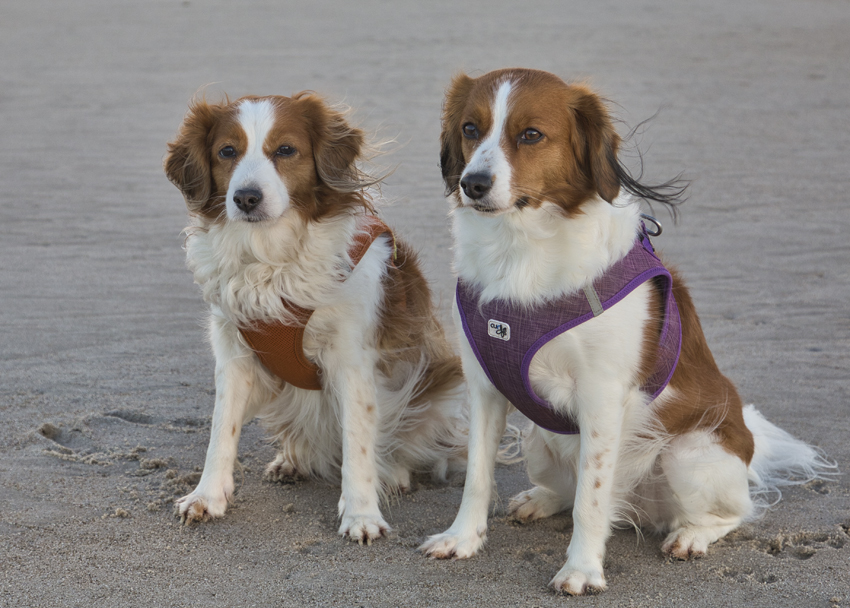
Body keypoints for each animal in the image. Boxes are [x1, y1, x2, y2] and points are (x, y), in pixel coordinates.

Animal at [164, 91, 464, 540]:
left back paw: (392, 473)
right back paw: (292, 459)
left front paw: (361, 514)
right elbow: (222, 430)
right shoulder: (234, 354)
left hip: (433, 383)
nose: (246, 197)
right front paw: (207, 496)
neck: (271, 261)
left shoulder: (353, 360)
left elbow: (359, 440)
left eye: (286, 150)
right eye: (227, 152)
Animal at [418, 67, 828, 592]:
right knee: (567, 489)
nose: (473, 183)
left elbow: (592, 501)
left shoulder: (602, 396)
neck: (521, 249)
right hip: (538, 442)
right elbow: (478, 477)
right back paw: (539, 499)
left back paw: (691, 535)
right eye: (471, 128)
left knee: (733, 512)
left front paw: (581, 569)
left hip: (686, 455)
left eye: (531, 134)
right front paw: (462, 539)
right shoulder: (486, 387)